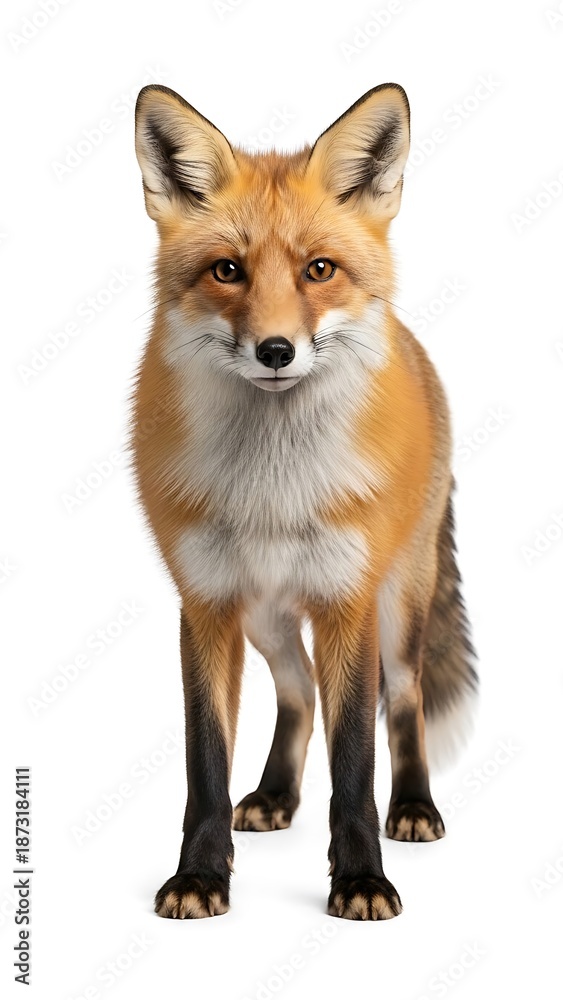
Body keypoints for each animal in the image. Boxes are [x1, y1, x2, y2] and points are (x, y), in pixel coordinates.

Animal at [132, 82, 477, 921]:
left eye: (319, 269)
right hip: (265, 616)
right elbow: (204, 765)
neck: (272, 489)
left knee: (403, 701)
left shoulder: (345, 603)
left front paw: (360, 879)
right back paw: (276, 795)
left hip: (398, 604)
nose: (276, 352)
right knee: (297, 695)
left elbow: (353, 762)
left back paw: (413, 807)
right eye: (227, 270)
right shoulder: (205, 603)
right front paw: (200, 875)